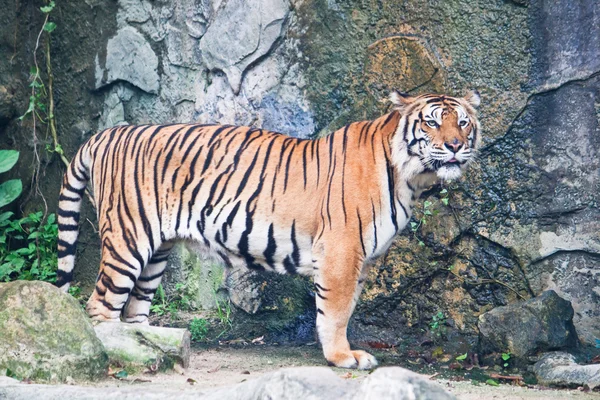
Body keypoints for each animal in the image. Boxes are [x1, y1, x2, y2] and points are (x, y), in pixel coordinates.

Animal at [54, 90, 480, 368]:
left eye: (462, 123)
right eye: (431, 122)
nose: (456, 146)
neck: (411, 177)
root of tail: (107, 133)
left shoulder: (363, 259)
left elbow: (345, 308)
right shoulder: (342, 251)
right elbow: (336, 310)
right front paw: (343, 357)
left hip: (155, 252)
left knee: (134, 309)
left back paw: (155, 348)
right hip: (128, 240)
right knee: (100, 307)